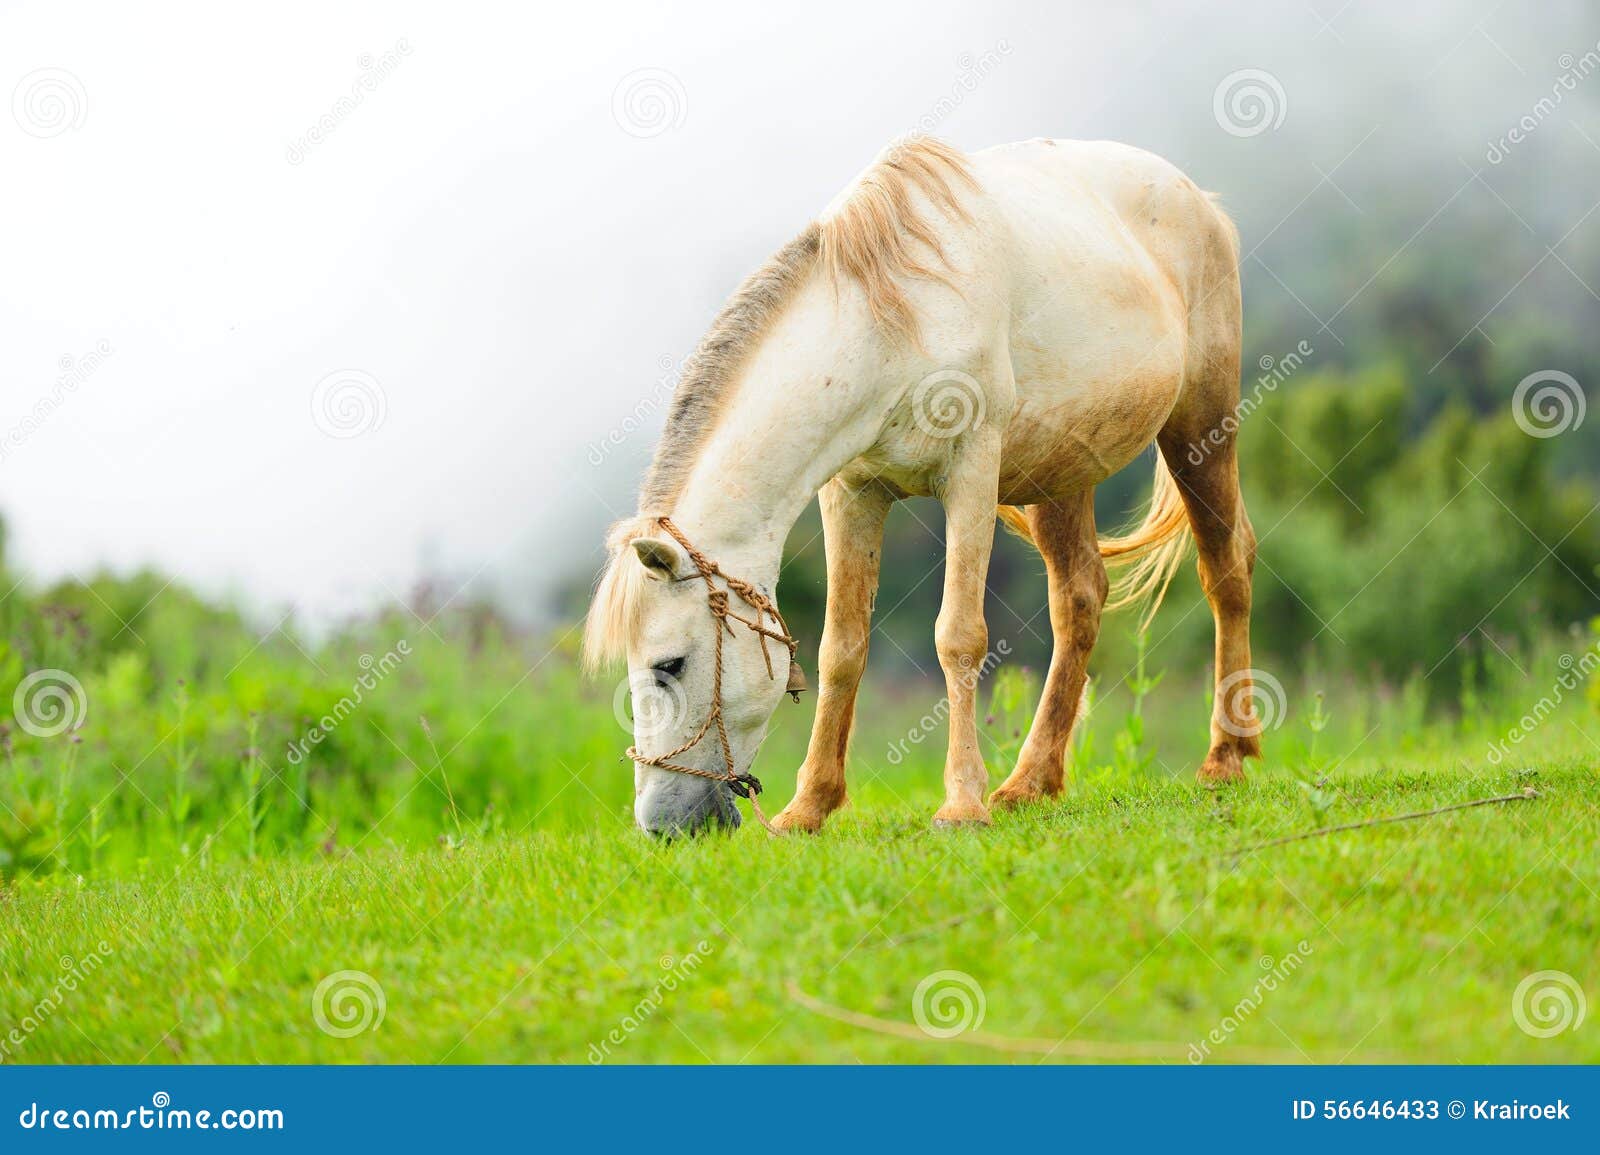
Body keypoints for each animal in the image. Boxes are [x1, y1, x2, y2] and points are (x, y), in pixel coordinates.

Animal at [585, 136, 1259, 836]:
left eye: (669, 665)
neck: (893, 326)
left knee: (1226, 569)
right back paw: (1029, 783)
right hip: (1061, 474)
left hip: (1201, 427)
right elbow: (842, 648)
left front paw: (961, 804)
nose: (662, 826)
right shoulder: (852, 493)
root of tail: (1200, 200)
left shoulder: (971, 476)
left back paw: (1225, 758)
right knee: (1080, 599)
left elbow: (958, 636)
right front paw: (809, 807)